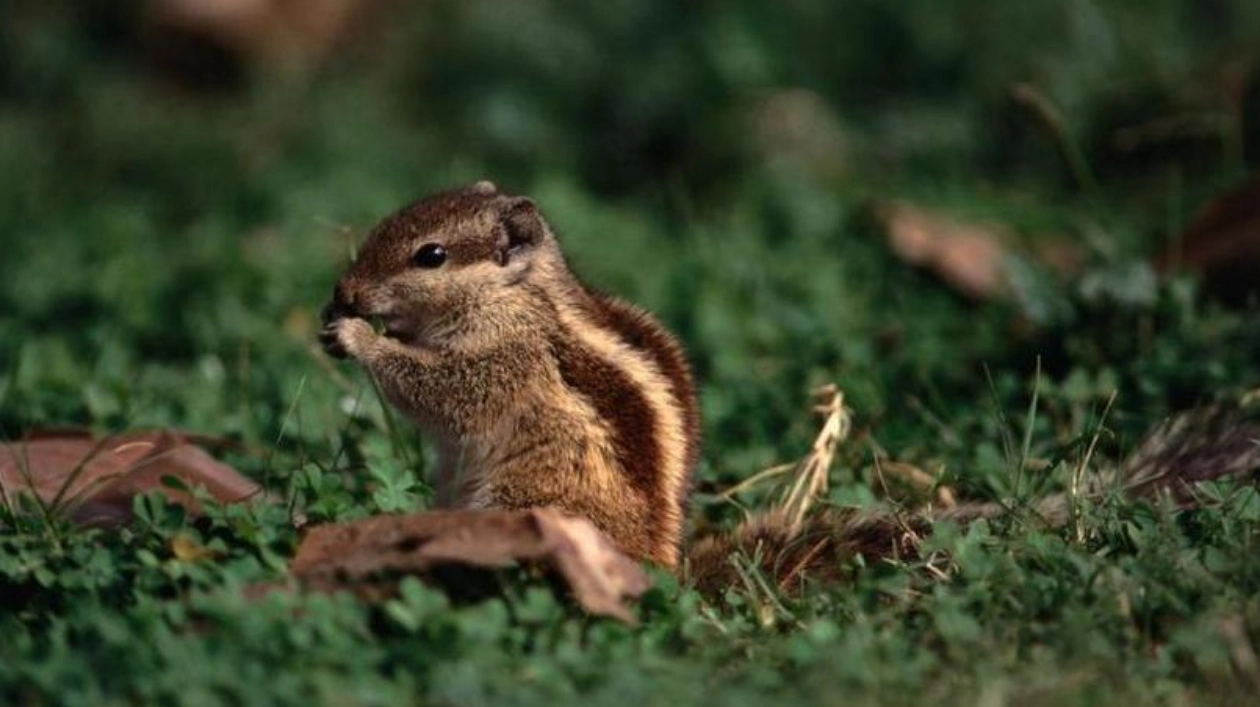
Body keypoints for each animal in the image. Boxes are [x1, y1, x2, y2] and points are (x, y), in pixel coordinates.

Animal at [317, 180, 700, 567]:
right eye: (384, 225)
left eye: (432, 255)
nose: (343, 292)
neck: (515, 290)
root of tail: (659, 550)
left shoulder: (507, 358)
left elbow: (444, 391)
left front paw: (359, 336)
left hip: (528, 496)